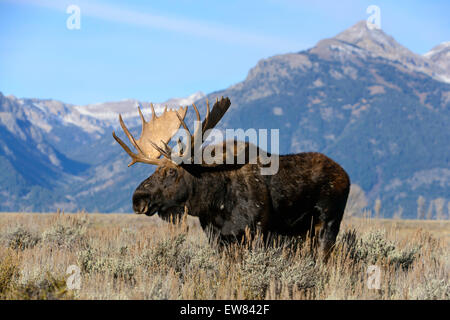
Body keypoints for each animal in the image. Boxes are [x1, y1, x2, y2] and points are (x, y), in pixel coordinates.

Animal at [113, 96, 352, 256]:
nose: (137, 199)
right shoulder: (217, 238)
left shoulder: (256, 233)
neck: (213, 202)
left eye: (171, 171)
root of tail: (346, 174)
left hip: (329, 222)